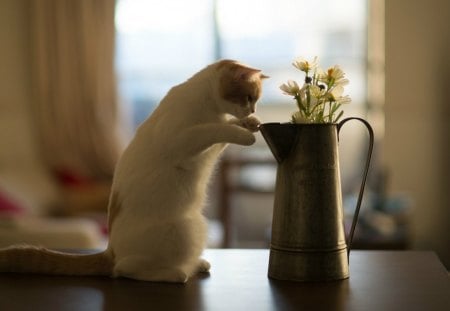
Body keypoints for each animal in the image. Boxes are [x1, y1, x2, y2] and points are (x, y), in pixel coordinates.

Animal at [0, 59, 268, 284]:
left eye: (256, 101)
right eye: (248, 98)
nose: (253, 112)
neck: (208, 105)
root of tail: (110, 251)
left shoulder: (210, 148)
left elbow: (224, 130)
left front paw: (249, 125)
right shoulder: (183, 139)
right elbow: (215, 129)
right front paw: (244, 133)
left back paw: (197, 264)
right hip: (182, 230)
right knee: (125, 270)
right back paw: (176, 274)